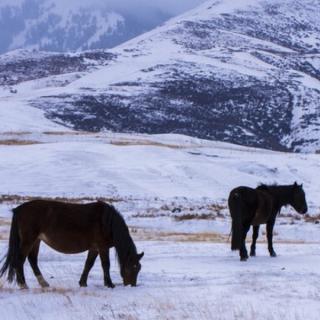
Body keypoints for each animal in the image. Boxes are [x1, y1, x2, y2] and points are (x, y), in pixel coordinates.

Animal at [0, 200, 144, 288]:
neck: (107, 222)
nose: (132, 285)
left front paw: (83, 283)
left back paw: (43, 283)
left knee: (32, 260)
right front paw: (109, 284)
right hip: (28, 240)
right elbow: (105, 265)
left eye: (139, 268)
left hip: (36, 241)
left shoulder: (94, 248)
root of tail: (18, 210)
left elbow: (88, 264)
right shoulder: (102, 247)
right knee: (20, 261)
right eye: (132, 267)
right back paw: (23, 284)